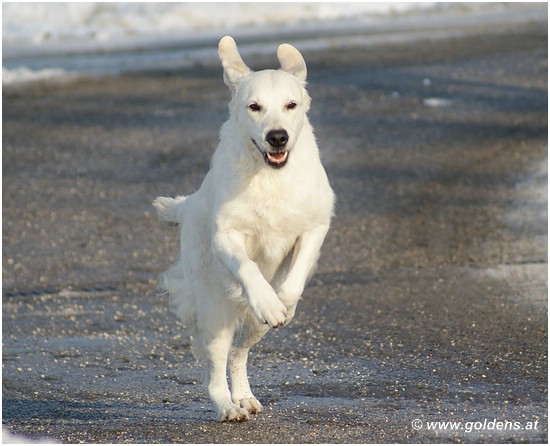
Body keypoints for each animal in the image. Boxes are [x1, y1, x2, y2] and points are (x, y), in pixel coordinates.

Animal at [153, 36, 334, 422]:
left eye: (291, 104)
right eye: (254, 107)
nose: (278, 137)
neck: (269, 177)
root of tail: (188, 204)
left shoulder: (315, 226)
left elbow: (293, 281)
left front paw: (282, 304)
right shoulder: (225, 236)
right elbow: (247, 266)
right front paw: (267, 301)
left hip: (251, 327)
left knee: (239, 352)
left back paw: (245, 396)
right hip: (214, 308)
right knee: (216, 364)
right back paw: (227, 406)